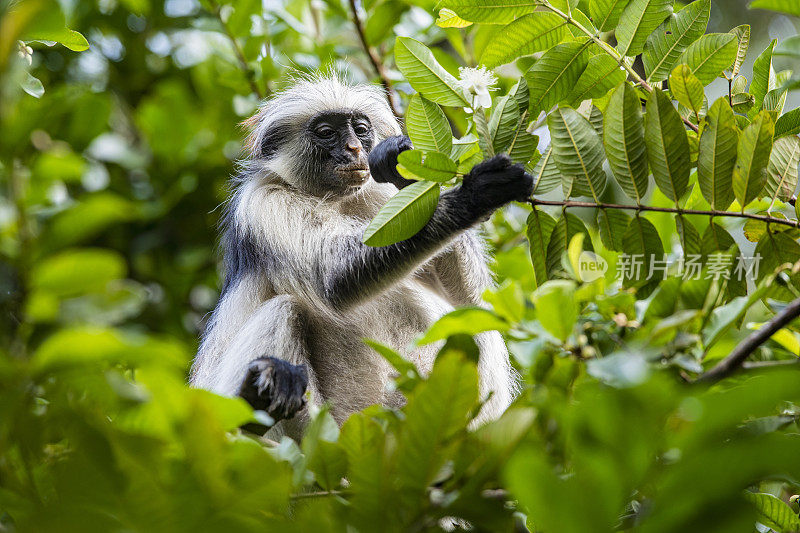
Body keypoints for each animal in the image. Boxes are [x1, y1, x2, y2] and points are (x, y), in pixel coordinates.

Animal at [191, 76, 536, 440]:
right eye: (326, 132)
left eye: (360, 129)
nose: (355, 149)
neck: (333, 199)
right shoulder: (263, 202)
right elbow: (333, 277)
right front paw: (476, 194)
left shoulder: (378, 195)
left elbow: (476, 302)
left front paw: (405, 167)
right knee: (282, 310)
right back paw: (256, 401)